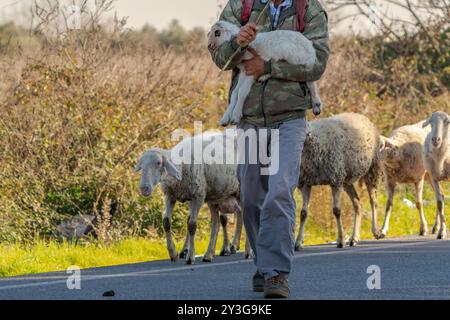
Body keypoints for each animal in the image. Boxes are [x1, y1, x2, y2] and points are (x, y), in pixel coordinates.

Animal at [135, 131, 251, 264]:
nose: (144, 188)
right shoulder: (170, 195)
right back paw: (209, 254)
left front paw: (190, 257)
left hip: (239, 191)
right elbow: (166, 222)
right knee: (216, 223)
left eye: (159, 163)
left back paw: (247, 251)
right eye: (141, 166)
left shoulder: (198, 196)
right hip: (215, 197)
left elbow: (192, 225)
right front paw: (173, 253)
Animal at [298, 113, 382, 250]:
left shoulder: (335, 180)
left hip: (372, 168)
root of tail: (360, 115)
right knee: (357, 204)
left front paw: (341, 241)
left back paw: (376, 231)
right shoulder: (306, 183)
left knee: (373, 201)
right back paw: (354, 238)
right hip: (346, 180)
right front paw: (298, 242)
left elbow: (337, 211)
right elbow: (303, 213)